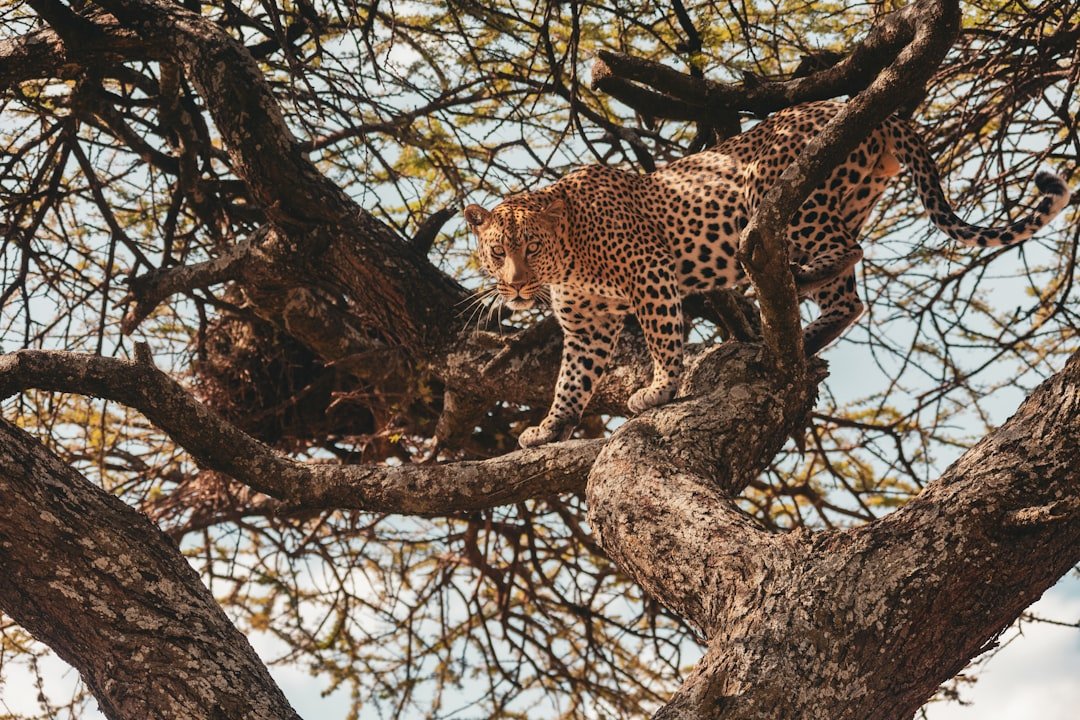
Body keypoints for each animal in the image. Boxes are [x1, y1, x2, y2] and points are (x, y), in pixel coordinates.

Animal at [463, 100, 1071, 449]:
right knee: (850, 298)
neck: (569, 257)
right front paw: (550, 427)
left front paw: (659, 391)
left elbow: (662, 339)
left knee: (847, 250)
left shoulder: (651, 274)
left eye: (531, 246)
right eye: (496, 252)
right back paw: (799, 338)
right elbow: (571, 380)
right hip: (841, 203)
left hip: (787, 201)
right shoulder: (587, 324)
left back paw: (787, 290)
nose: (514, 285)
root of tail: (881, 112)